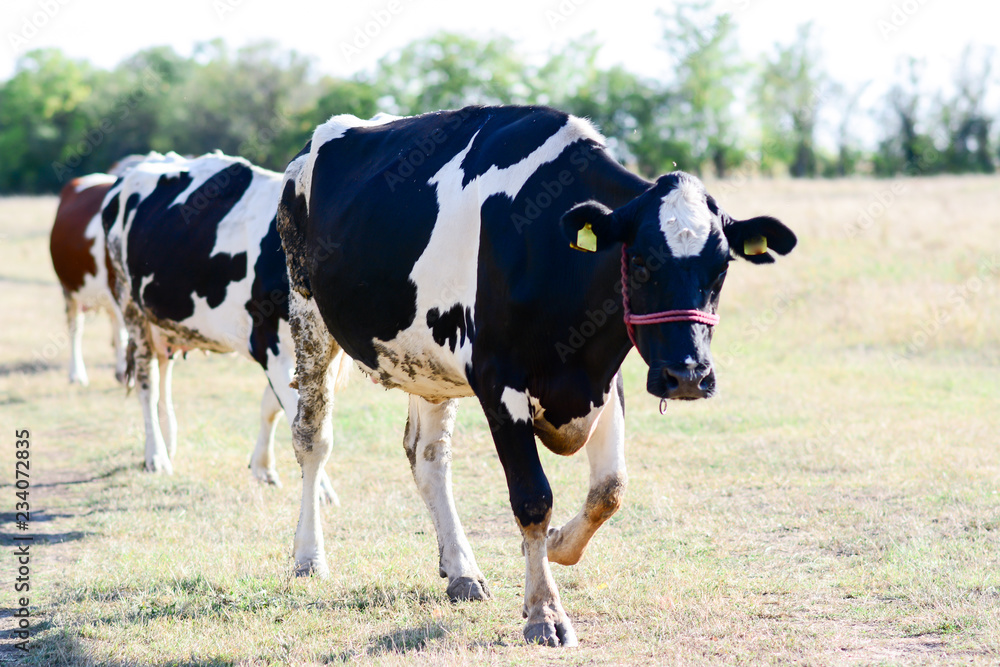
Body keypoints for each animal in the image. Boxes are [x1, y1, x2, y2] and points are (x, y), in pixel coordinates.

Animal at [101, 151, 350, 496]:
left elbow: (271, 405)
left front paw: (262, 467)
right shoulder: (269, 342)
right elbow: (290, 410)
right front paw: (321, 488)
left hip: (163, 320)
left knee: (163, 373)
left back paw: (169, 440)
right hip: (130, 306)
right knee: (146, 382)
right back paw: (156, 456)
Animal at [276, 108, 796, 648]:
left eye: (721, 267)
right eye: (639, 262)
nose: (688, 375)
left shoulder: (604, 377)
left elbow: (609, 488)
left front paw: (559, 545)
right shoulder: (497, 379)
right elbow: (533, 498)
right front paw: (544, 612)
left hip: (428, 361)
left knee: (428, 456)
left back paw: (462, 570)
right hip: (307, 315)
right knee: (312, 440)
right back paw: (309, 558)